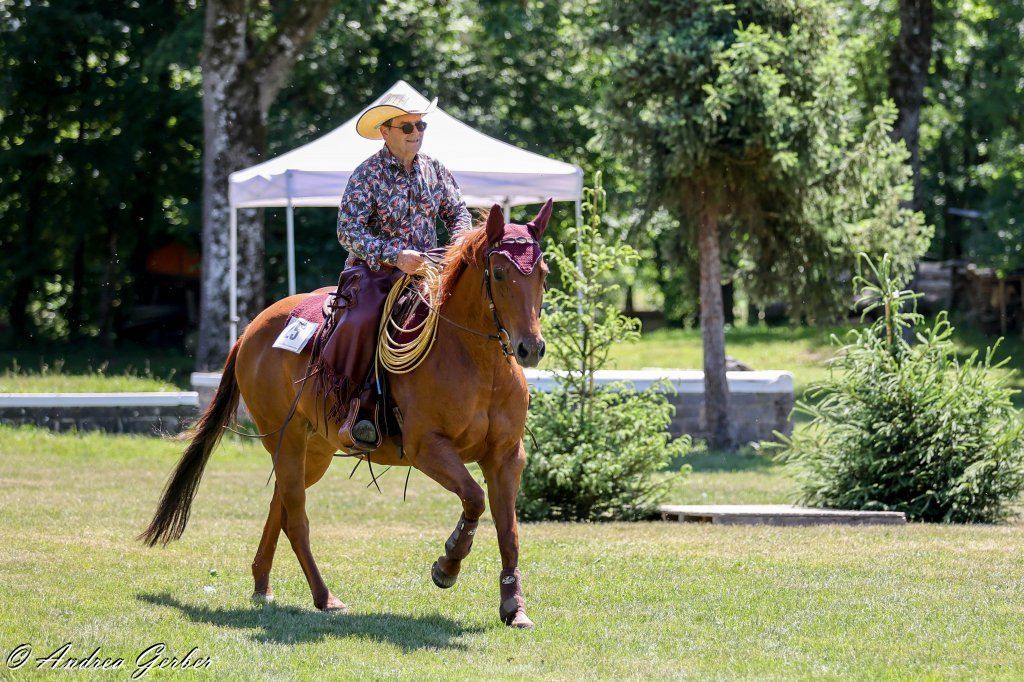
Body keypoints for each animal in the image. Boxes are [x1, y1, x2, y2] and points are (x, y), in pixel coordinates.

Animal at [140, 200, 552, 629]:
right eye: (500, 273)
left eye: (543, 273)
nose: (530, 347)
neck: (475, 361)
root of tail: (250, 330)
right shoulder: (428, 449)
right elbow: (473, 498)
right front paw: (447, 564)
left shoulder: (507, 456)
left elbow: (509, 532)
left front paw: (514, 606)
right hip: (285, 440)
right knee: (295, 518)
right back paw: (325, 597)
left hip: (314, 451)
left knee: (280, 506)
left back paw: (262, 584)